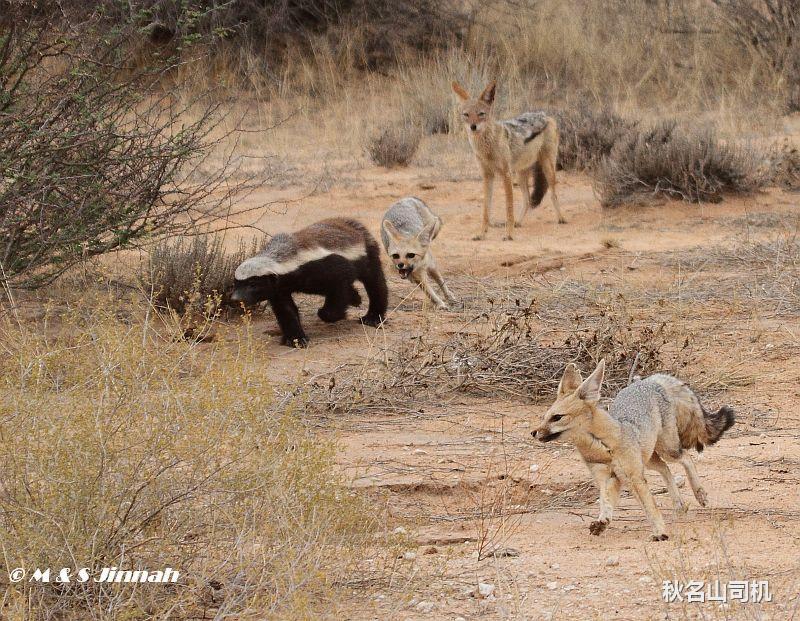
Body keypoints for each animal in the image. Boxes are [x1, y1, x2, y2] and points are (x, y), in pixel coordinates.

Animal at [454, 80, 564, 240]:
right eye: (466, 115)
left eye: (481, 114)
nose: (473, 127)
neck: (487, 147)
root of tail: (545, 114)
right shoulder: (487, 176)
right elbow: (486, 209)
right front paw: (481, 234)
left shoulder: (506, 174)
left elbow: (508, 207)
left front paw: (509, 234)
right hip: (520, 174)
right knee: (527, 200)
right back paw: (519, 222)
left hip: (547, 168)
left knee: (553, 194)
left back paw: (561, 219)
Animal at [536, 360, 736, 540]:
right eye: (545, 417)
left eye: (557, 417)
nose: (533, 432)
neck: (602, 447)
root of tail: (649, 380)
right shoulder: (608, 477)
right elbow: (606, 502)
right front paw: (602, 521)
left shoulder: (633, 477)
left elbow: (649, 506)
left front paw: (659, 531)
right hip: (649, 460)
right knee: (665, 469)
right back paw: (679, 504)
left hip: (667, 450)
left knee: (686, 458)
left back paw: (699, 493)